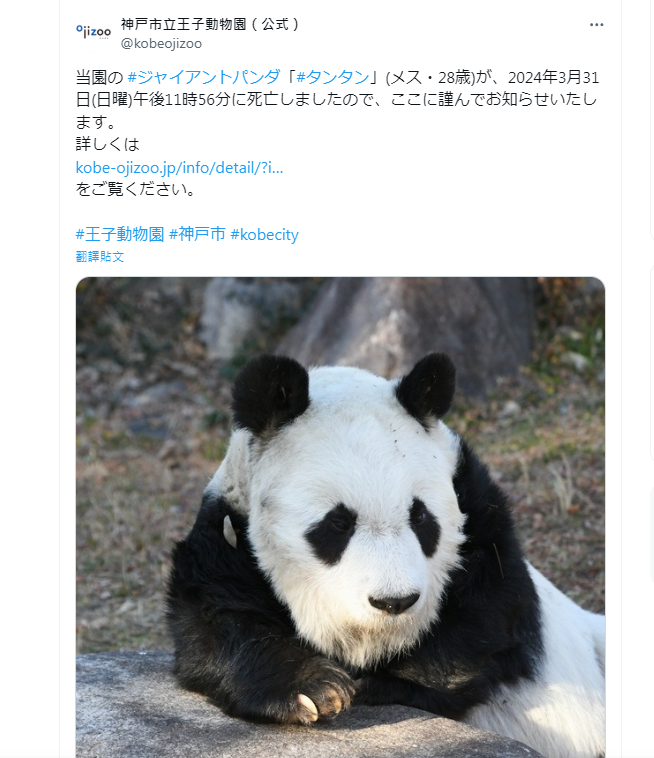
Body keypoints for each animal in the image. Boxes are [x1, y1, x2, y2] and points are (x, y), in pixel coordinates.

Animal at [166, 353, 605, 758]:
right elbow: (217, 621)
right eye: (338, 524)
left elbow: (487, 612)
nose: (394, 602)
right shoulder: (227, 535)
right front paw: (315, 689)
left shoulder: (479, 513)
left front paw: (383, 684)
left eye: (421, 517)